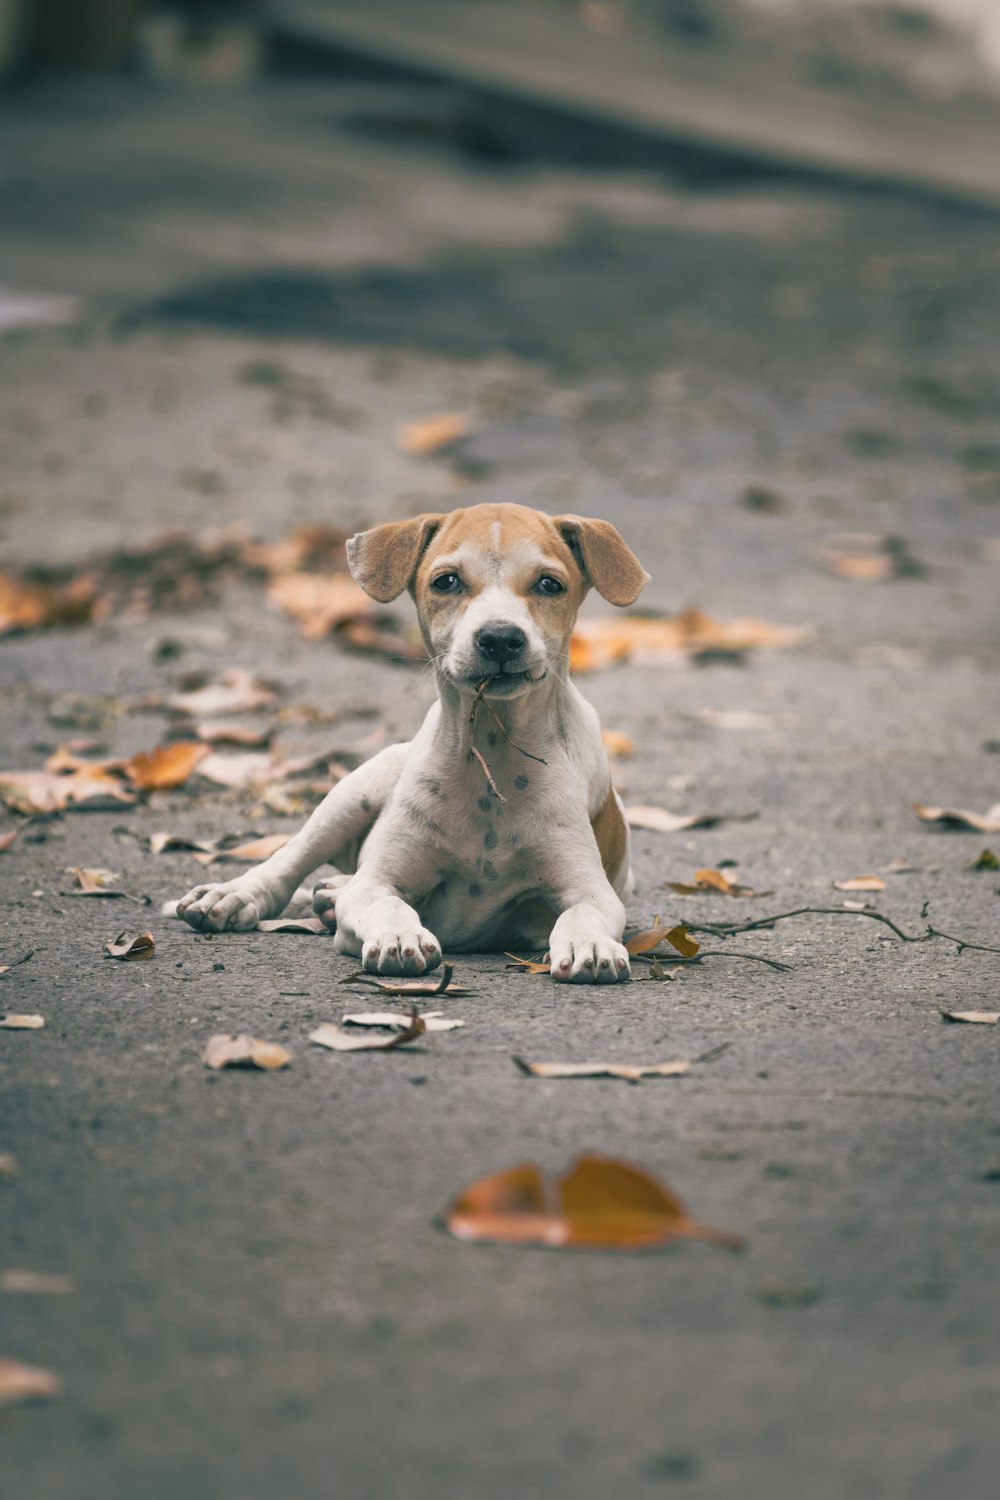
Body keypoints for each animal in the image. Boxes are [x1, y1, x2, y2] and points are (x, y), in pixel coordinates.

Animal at [179, 504, 650, 984]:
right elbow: (388, 903)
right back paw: (235, 894)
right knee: (289, 859)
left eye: (549, 584)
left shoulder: (592, 890)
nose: (500, 637)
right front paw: (399, 936)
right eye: (447, 581)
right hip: (356, 791)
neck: (491, 754)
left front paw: (589, 943)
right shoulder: (375, 885)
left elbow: (581, 913)